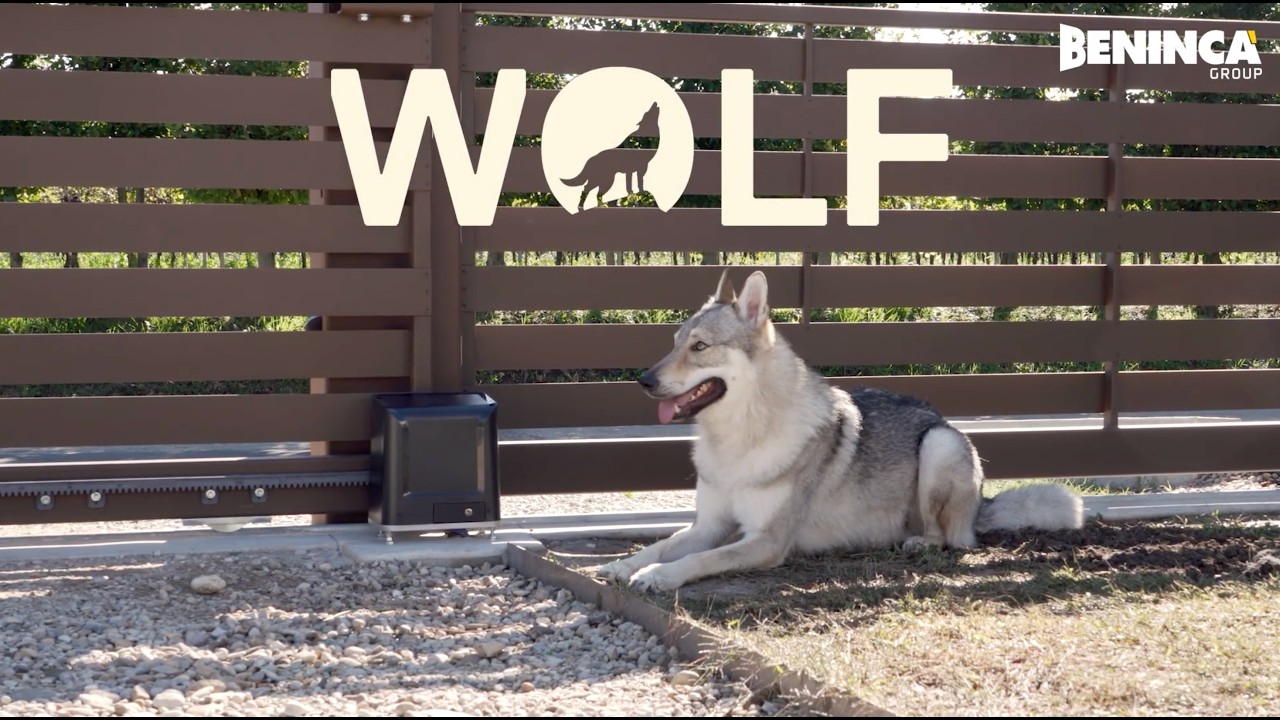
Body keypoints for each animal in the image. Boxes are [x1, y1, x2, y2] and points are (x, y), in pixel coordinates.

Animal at [598, 270, 1085, 593]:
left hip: (939, 444)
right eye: (674, 343)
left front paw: (658, 576)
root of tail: (983, 504)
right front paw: (626, 565)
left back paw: (914, 542)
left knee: (949, 539)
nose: (643, 380)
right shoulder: (710, 525)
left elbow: (700, 558)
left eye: (699, 347)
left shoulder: (766, 541)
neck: (740, 438)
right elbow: (663, 544)